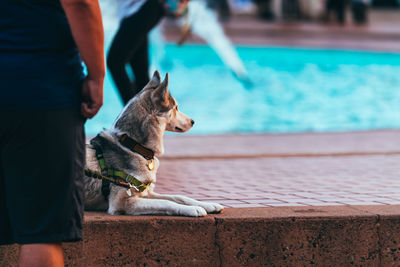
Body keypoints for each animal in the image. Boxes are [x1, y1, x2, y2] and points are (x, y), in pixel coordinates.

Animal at [84, 70, 223, 217]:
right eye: (176, 108)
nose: (193, 121)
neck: (133, 146)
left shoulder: (145, 192)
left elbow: (179, 197)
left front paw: (208, 204)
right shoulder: (122, 201)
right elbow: (166, 202)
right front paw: (192, 209)